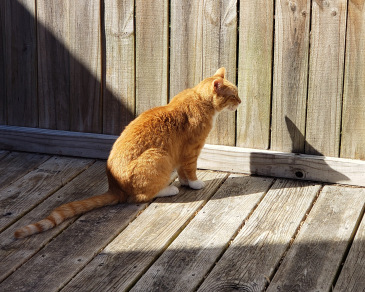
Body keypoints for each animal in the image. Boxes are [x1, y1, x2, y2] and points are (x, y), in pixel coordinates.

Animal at [14, 68, 240, 240]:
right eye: (233, 95)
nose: (240, 101)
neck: (200, 99)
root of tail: (114, 187)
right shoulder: (191, 151)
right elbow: (190, 171)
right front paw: (194, 184)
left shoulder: (181, 155)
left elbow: (183, 172)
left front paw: (186, 182)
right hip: (158, 156)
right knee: (140, 196)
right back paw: (168, 189)